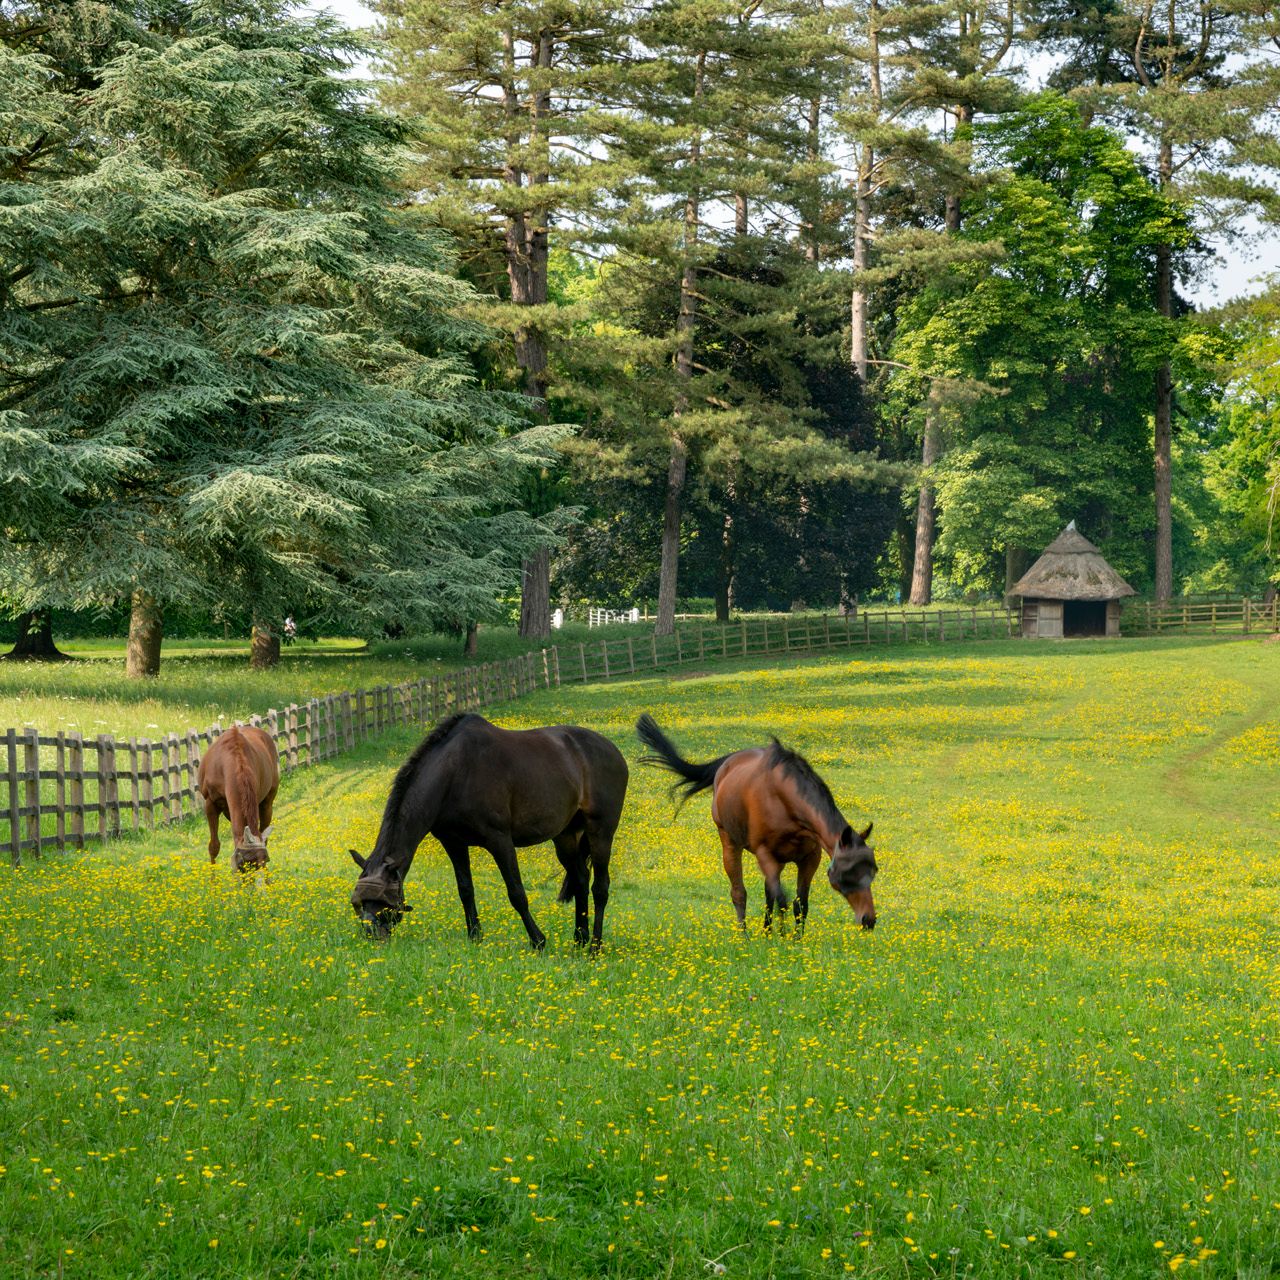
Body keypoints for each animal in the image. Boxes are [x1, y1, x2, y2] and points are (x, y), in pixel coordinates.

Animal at [348, 713, 629, 949]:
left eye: (384, 903)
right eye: (358, 904)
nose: (371, 935)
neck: (455, 772)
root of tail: (612, 750)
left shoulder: (499, 840)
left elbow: (516, 893)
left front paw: (537, 940)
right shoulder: (453, 842)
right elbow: (465, 889)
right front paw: (475, 936)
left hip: (601, 831)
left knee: (600, 887)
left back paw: (594, 946)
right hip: (566, 836)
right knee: (580, 879)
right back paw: (579, 939)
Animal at [636, 713, 877, 933]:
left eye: (873, 871)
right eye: (847, 874)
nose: (869, 920)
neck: (785, 800)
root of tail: (727, 763)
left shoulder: (810, 858)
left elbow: (799, 904)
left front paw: (795, 940)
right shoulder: (764, 853)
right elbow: (781, 900)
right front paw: (782, 937)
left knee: (769, 892)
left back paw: (766, 931)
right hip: (730, 842)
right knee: (739, 893)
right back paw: (745, 936)